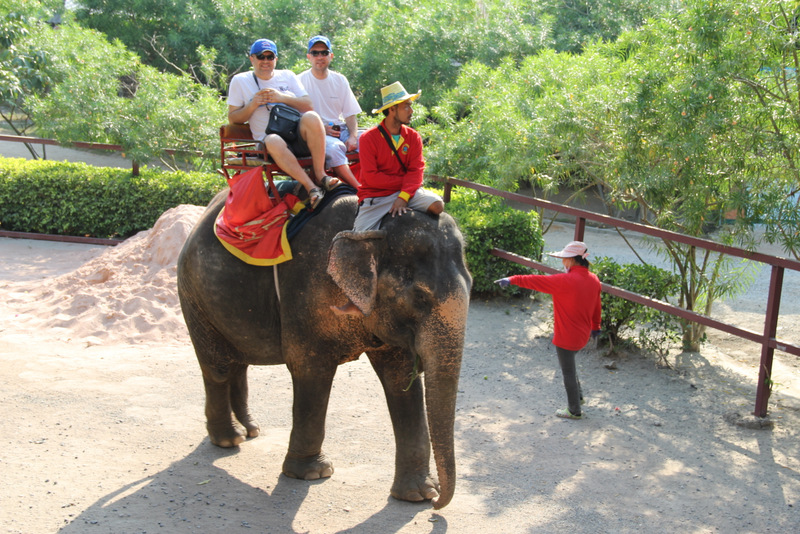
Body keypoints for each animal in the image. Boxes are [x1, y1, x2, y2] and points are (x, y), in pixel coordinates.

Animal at [177, 189, 468, 510]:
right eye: (419, 297)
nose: (437, 505)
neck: (372, 230)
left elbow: (399, 378)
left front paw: (418, 495)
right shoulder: (305, 290)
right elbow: (310, 370)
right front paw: (312, 473)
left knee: (238, 363)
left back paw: (250, 430)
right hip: (192, 295)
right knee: (218, 368)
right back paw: (229, 440)